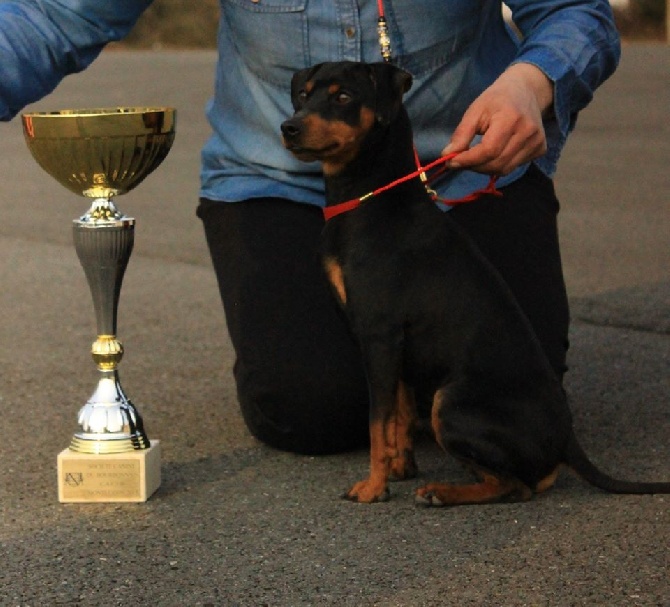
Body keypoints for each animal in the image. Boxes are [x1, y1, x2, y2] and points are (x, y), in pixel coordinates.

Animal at [280, 63, 668, 508]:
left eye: (343, 97)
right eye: (303, 94)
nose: (289, 127)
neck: (371, 200)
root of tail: (566, 439)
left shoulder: (378, 335)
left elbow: (378, 422)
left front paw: (373, 488)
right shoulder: (395, 345)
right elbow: (399, 411)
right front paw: (399, 468)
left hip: (450, 402)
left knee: (516, 486)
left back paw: (440, 492)